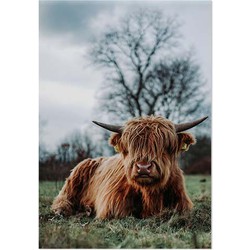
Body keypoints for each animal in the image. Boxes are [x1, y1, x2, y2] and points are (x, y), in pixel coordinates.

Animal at [50, 115, 207, 219]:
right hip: (74, 178)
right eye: (131, 147)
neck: (149, 194)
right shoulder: (112, 207)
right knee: (62, 198)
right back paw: (63, 210)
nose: (143, 167)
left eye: (164, 147)